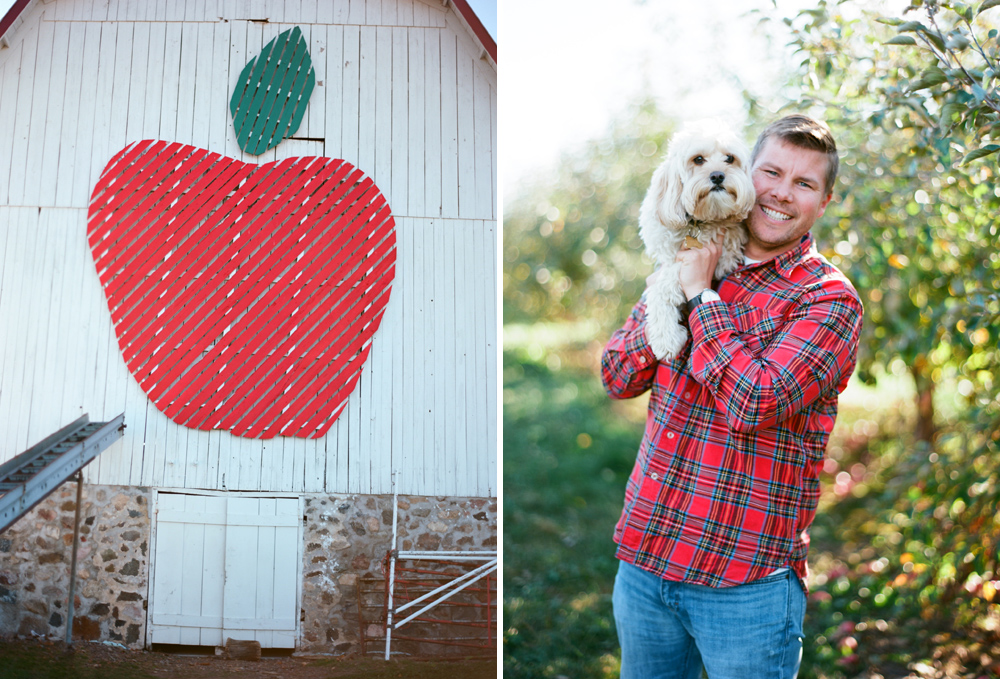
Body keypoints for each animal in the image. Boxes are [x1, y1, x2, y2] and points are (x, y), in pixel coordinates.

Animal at [640, 121, 756, 362]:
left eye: (729, 158)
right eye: (698, 159)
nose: (718, 175)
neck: (698, 223)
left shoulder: (716, 252)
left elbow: (662, 287)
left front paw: (666, 339)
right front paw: (666, 337)